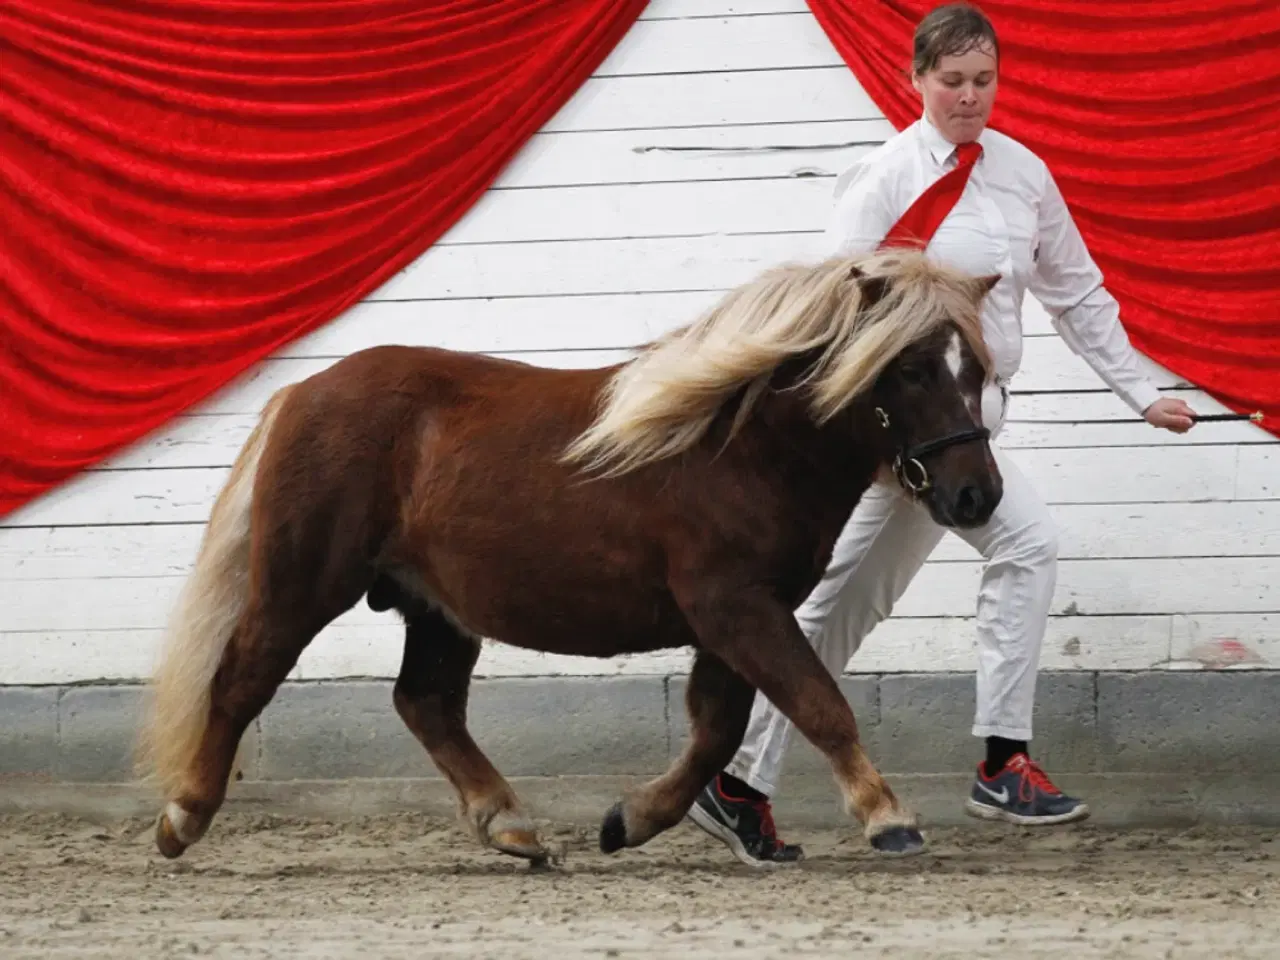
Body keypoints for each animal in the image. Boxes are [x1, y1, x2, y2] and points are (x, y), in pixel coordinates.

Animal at [137, 245, 998, 865]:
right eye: (911, 368)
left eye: (979, 370)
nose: (976, 495)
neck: (738, 445)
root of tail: (301, 394)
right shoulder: (734, 605)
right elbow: (816, 703)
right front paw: (888, 816)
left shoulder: (735, 617)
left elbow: (718, 728)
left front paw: (630, 821)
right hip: (305, 582)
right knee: (241, 679)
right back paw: (182, 818)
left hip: (434, 605)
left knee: (425, 702)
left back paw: (509, 824)